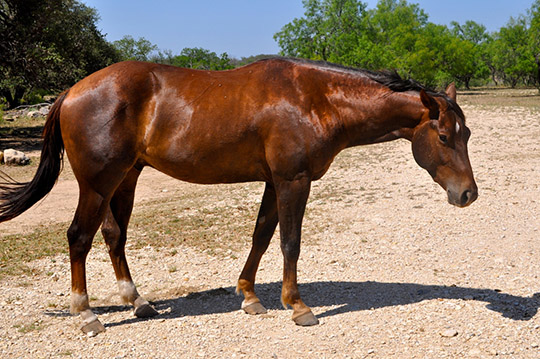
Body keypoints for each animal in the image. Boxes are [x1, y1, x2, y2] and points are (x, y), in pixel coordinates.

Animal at [0, 58, 476, 334]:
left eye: (467, 133)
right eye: (444, 135)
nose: (468, 194)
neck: (314, 99)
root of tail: (72, 90)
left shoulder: (275, 181)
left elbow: (261, 236)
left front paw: (249, 296)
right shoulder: (293, 180)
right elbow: (289, 242)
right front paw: (297, 306)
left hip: (126, 179)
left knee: (114, 237)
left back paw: (138, 302)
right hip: (98, 184)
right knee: (79, 238)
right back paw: (86, 314)